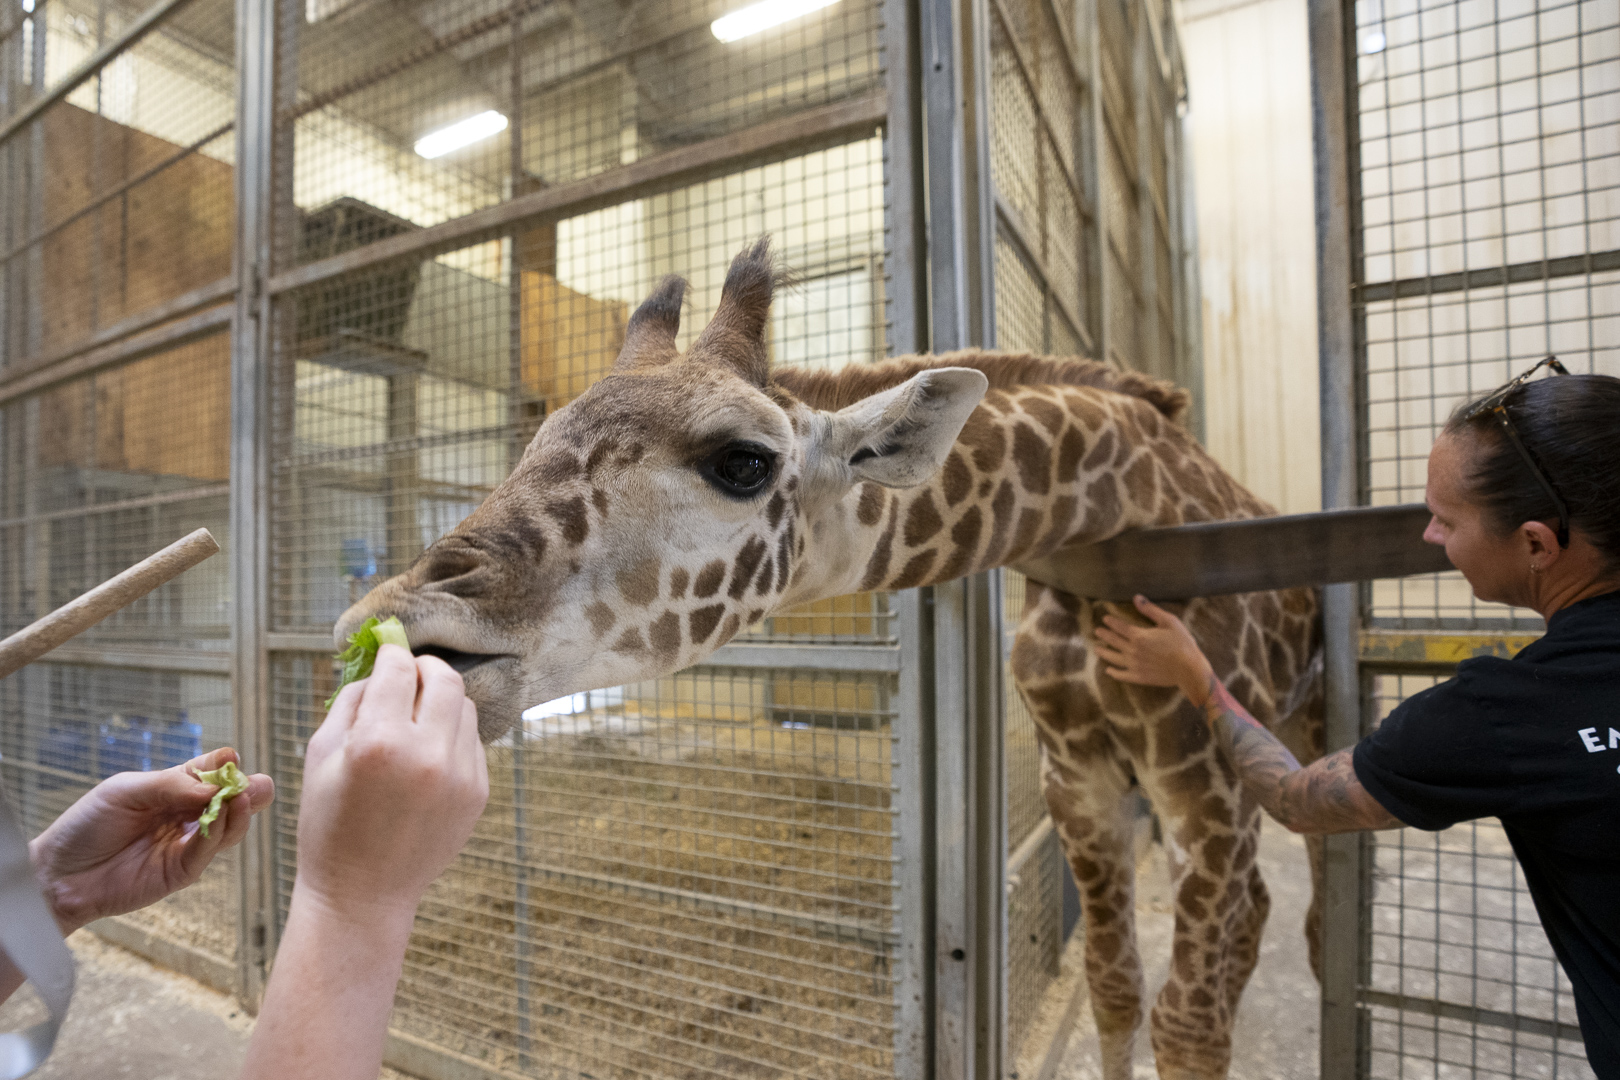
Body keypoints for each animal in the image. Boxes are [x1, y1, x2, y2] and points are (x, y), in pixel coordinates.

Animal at [337, 239, 1324, 1080]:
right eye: (531, 446)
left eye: (743, 461)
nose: (397, 623)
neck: (1108, 528)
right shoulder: (1078, 787)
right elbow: (1116, 993)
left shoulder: (1209, 796)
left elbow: (1186, 1029)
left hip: (1294, 743)